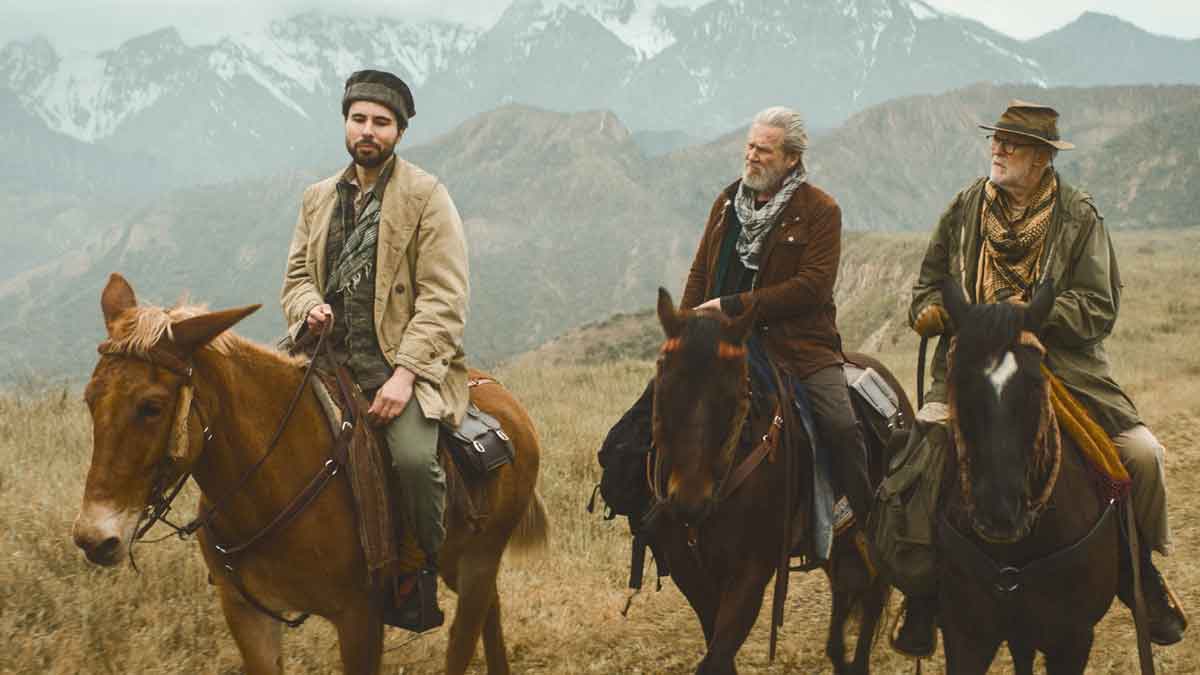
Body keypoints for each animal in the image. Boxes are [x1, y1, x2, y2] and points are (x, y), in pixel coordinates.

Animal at [70, 270, 549, 667]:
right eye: (89, 399)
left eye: (151, 407)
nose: (94, 538)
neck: (269, 487)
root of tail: (508, 403)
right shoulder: (247, 615)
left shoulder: (360, 618)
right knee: (492, 609)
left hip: (478, 561)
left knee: (465, 637)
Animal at [652, 289, 902, 672]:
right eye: (663, 385)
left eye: (736, 395)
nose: (690, 502)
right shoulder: (690, 573)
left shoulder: (751, 574)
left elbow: (715, 659)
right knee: (844, 588)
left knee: (872, 592)